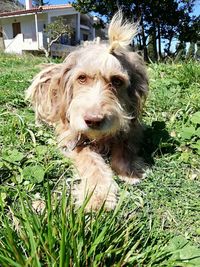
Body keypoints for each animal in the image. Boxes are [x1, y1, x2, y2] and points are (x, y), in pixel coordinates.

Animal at [25, 12, 148, 211]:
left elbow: (124, 145)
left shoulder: (130, 128)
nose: (93, 120)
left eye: (117, 81)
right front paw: (99, 195)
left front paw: (128, 170)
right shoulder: (71, 137)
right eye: (81, 78)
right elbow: (90, 159)